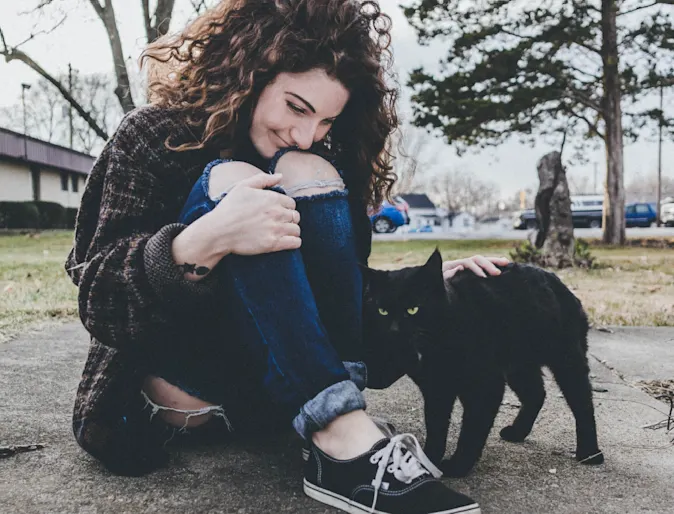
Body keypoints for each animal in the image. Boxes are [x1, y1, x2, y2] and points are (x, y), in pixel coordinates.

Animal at [362, 248, 604, 476]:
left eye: (413, 309)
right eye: (382, 310)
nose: (394, 330)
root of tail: (558, 281)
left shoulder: (485, 386)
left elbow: (471, 431)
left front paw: (458, 466)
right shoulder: (436, 389)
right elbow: (436, 426)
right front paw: (428, 459)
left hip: (566, 361)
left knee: (582, 402)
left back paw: (590, 453)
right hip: (518, 365)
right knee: (537, 394)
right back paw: (517, 432)